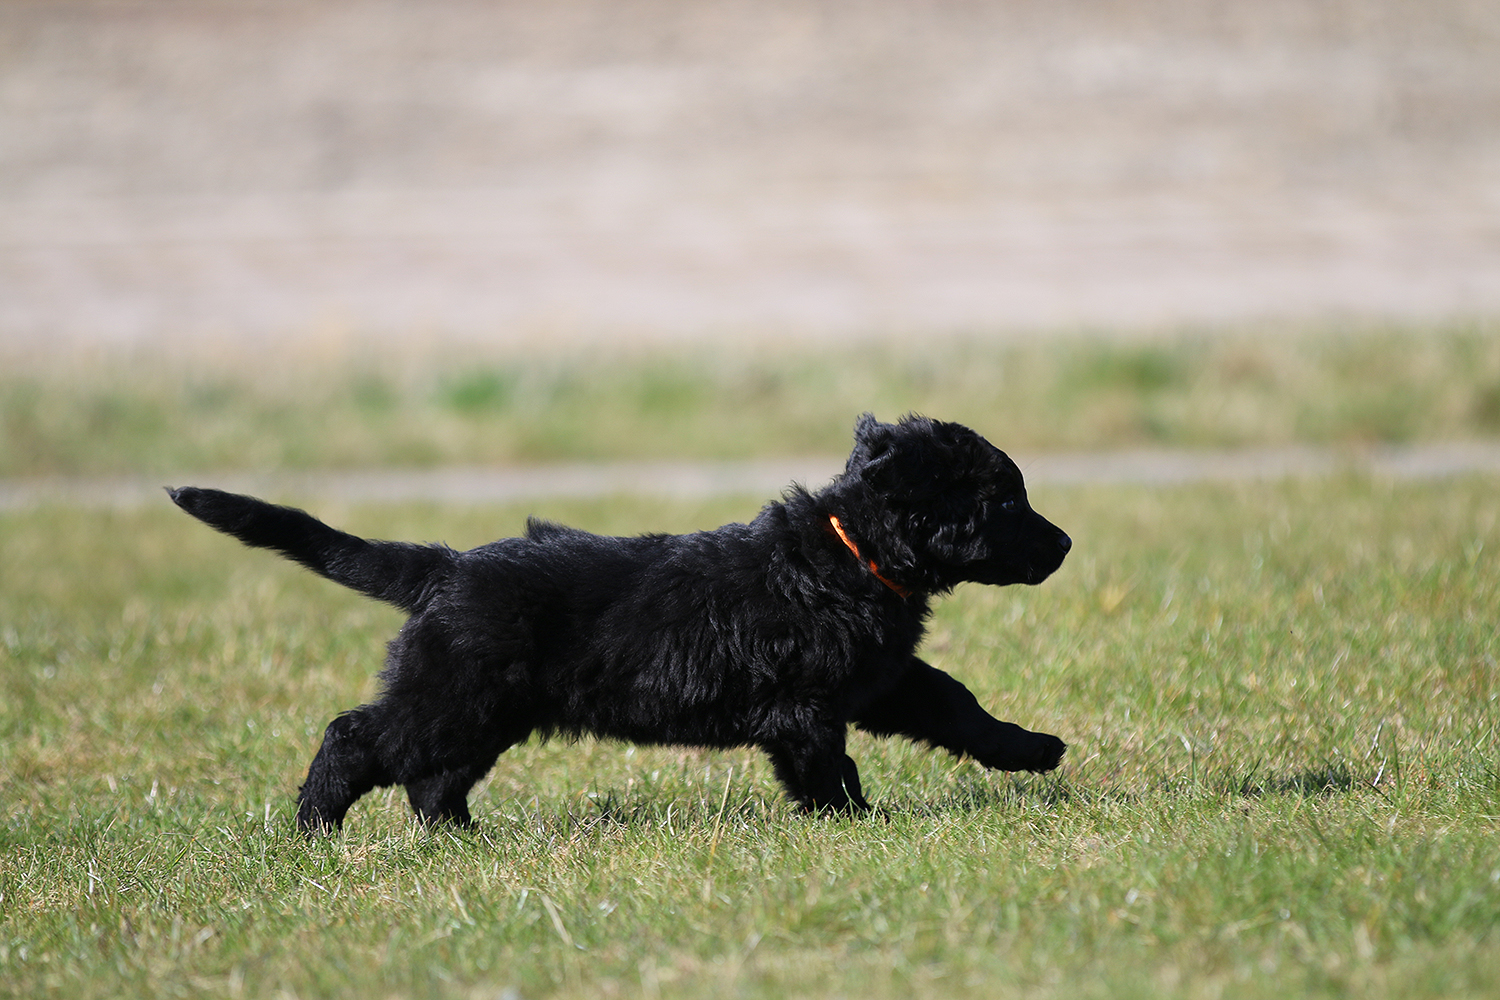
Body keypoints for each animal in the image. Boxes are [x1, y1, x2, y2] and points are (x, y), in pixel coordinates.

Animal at [169, 413, 1071, 832]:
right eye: (1005, 501)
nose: (1065, 543)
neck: (850, 553)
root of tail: (446, 568)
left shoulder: (883, 679)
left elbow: (957, 703)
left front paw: (1033, 749)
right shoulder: (806, 707)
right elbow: (827, 764)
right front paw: (853, 822)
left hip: (484, 711)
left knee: (432, 780)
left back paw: (462, 839)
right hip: (451, 698)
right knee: (356, 737)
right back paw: (312, 830)